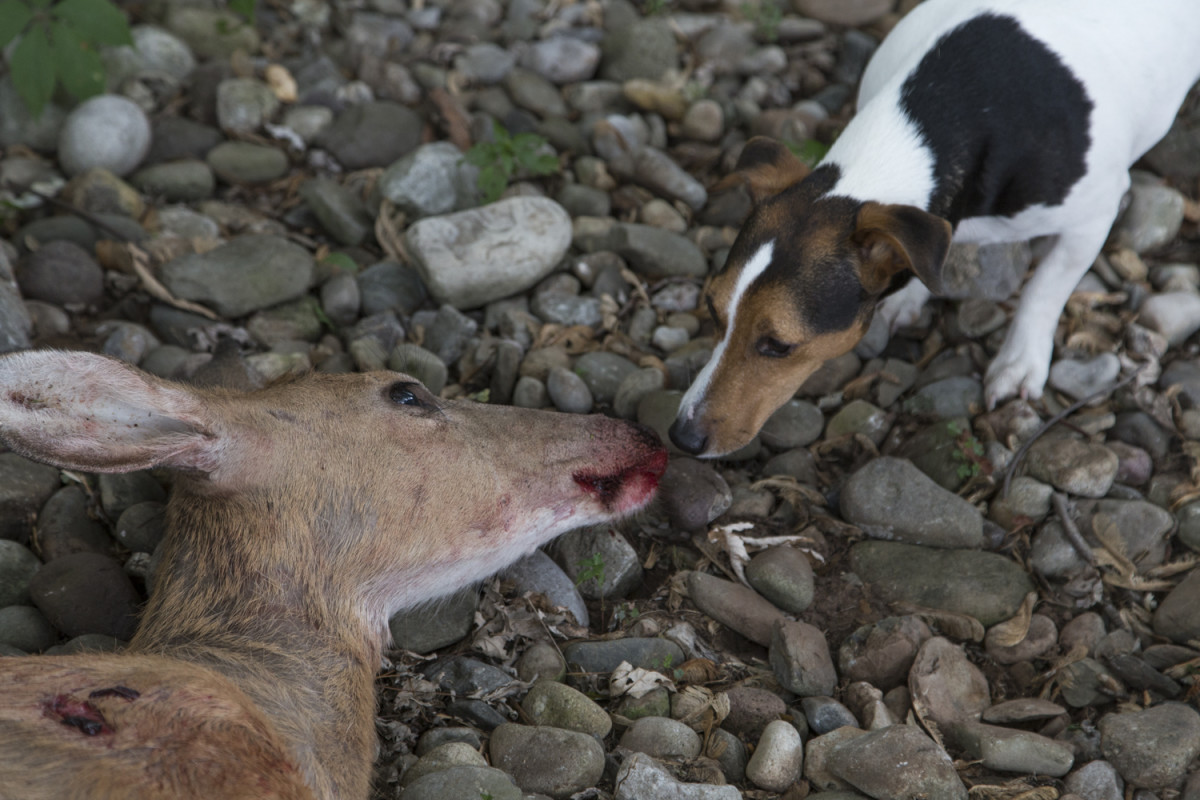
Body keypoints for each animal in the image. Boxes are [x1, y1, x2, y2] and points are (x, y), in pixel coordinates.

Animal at [672, 0, 1200, 455]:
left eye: (778, 346)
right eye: (711, 309)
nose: (682, 438)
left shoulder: (1094, 214)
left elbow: (1044, 289)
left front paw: (1018, 362)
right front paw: (907, 296)